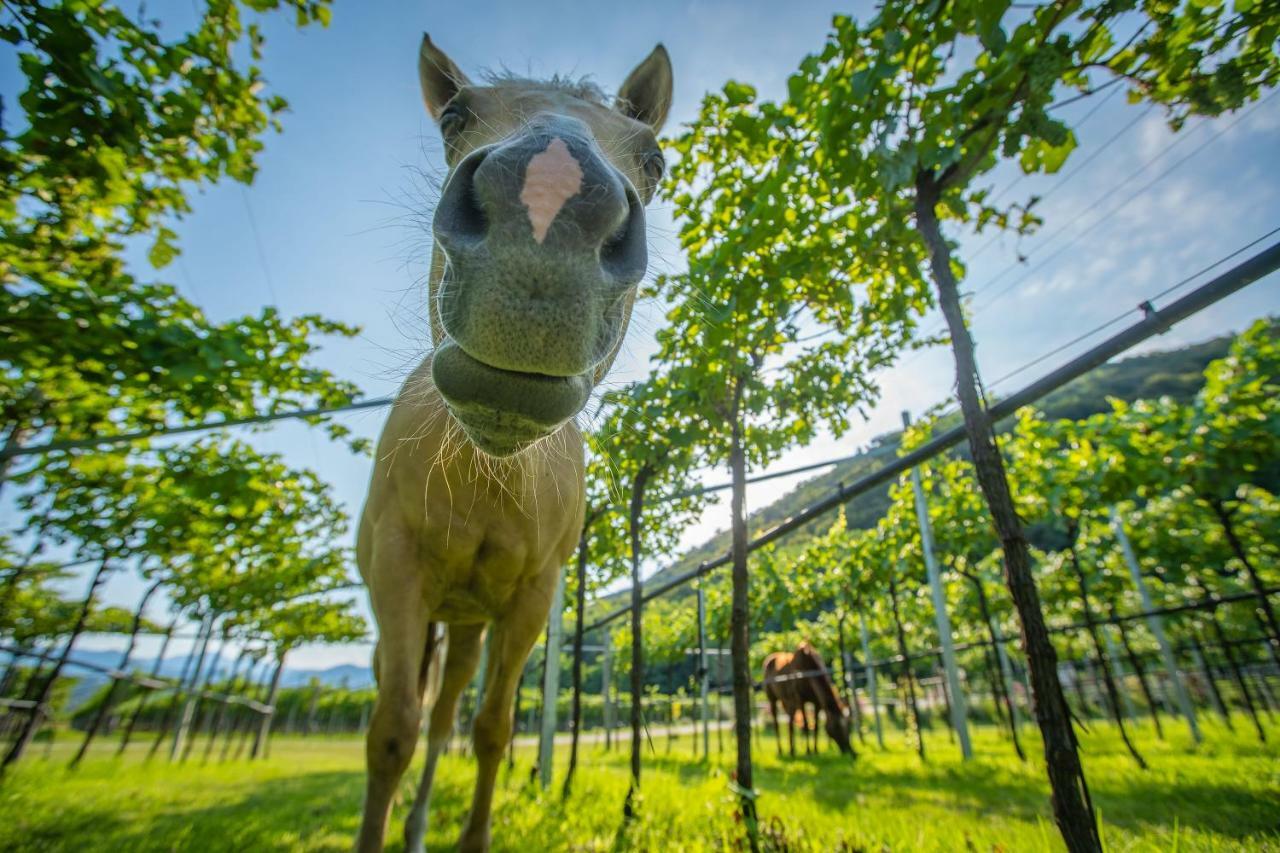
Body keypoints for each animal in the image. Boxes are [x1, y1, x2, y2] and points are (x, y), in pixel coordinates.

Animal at [350, 33, 670, 850]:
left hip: (467, 623)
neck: (486, 476)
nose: (548, 204)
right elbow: (390, 733)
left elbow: (491, 730)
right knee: (415, 709)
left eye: (654, 159)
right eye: (454, 117)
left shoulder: (532, 596)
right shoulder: (396, 571)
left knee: (445, 717)